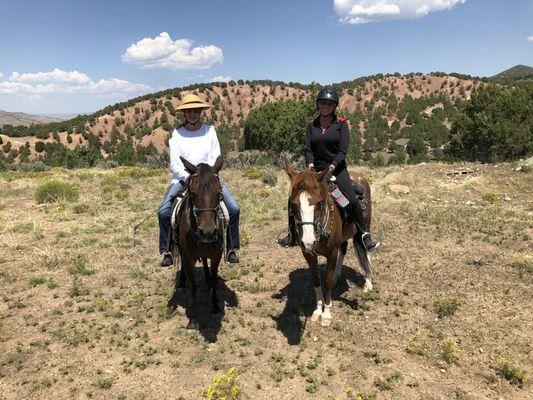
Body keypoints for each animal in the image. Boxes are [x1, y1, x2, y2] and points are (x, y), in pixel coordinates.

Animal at [166, 155, 224, 330]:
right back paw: (182, 282)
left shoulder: (217, 255)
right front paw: (192, 318)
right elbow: (193, 286)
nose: (208, 232)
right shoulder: (189, 257)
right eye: (193, 192)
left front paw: (215, 306)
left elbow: (214, 279)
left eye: (219, 192)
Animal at [284, 161, 372, 326]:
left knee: (365, 248)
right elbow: (317, 281)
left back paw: (368, 283)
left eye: (319, 203)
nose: (308, 242)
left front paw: (326, 314)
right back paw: (339, 275)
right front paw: (318, 311)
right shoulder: (308, 254)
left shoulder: (331, 253)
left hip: (364, 227)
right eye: (293, 204)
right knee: (344, 249)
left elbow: (327, 282)